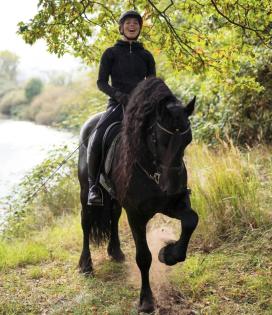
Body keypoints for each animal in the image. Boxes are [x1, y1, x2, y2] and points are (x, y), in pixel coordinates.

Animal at [77, 78, 199, 314]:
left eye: (187, 139)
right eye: (157, 138)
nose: (172, 186)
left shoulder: (174, 204)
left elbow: (191, 220)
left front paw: (168, 254)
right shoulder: (136, 215)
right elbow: (143, 257)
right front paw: (146, 301)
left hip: (115, 199)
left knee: (113, 217)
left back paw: (116, 252)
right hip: (85, 192)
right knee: (86, 222)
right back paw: (86, 265)